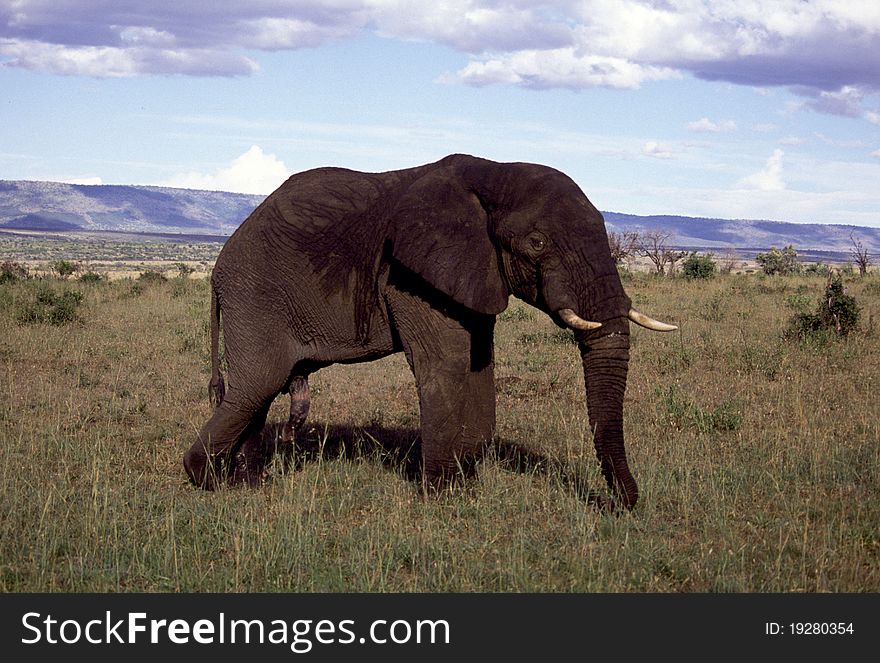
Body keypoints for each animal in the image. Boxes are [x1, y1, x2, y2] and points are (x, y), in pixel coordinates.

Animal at [184, 153, 672, 510]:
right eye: (536, 244)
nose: (625, 505)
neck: (495, 172)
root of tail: (220, 262)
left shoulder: (473, 274)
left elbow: (479, 364)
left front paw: (467, 484)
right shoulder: (411, 275)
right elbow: (447, 364)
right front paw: (441, 497)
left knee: (260, 391)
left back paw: (251, 484)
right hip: (255, 296)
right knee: (257, 385)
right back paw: (206, 480)